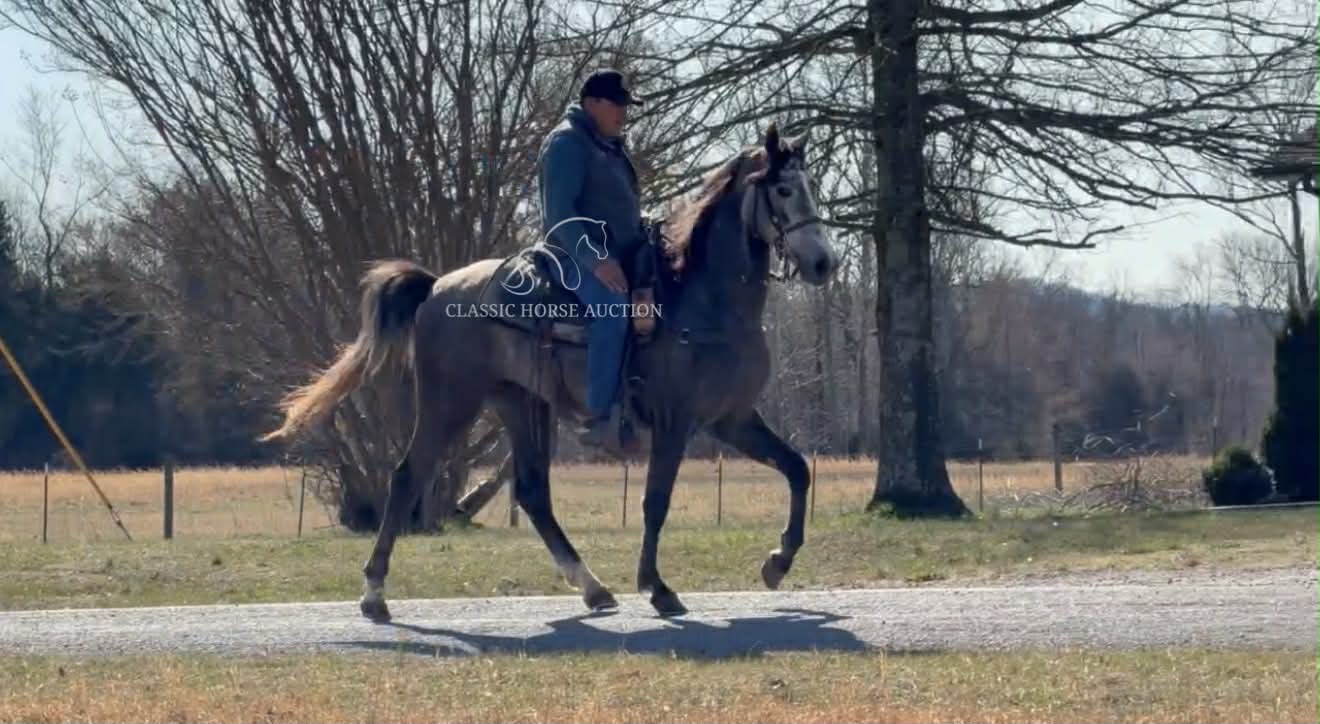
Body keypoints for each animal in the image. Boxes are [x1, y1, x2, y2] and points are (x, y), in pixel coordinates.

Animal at [260, 122, 838, 620]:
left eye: (812, 187)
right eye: (784, 189)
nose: (824, 264)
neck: (702, 298)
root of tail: (438, 287)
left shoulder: (731, 418)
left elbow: (796, 469)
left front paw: (777, 562)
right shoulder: (675, 422)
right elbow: (655, 502)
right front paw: (657, 587)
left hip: (520, 403)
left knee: (533, 492)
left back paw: (594, 589)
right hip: (451, 402)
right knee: (407, 478)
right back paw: (374, 594)